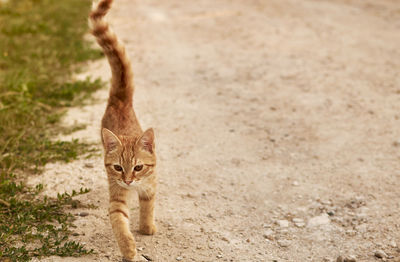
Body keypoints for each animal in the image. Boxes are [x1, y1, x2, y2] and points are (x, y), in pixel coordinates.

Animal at [90, 0, 157, 260]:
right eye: (118, 167)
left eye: (138, 167)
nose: (128, 180)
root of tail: (120, 100)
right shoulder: (117, 198)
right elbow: (120, 223)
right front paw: (129, 249)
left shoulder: (149, 187)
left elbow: (148, 207)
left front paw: (147, 227)